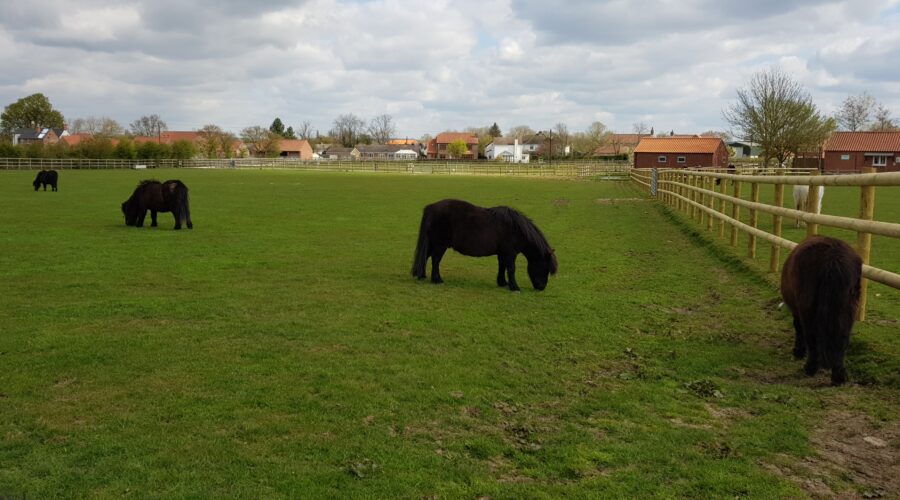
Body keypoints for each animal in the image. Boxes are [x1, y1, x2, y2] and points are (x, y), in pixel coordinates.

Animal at [411, 199, 557, 291]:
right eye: (544, 267)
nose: (541, 287)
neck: (516, 229)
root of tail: (431, 207)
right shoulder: (510, 253)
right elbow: (511, 269)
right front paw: (514, 287)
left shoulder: (503, 253)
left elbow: (502, 267)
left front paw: (502, 282)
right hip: (440, 245)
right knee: (435, 260)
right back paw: (437, 279)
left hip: (432, 244)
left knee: (425, 257)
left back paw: (422, 276)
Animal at [780, 236, 861, 385]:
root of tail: (833, 258)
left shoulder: (797, 312)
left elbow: (798, 329)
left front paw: (798, 352)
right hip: (848, 312)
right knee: (842, 339)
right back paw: (838, 376)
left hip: (807, 310)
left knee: (811, 336)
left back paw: (810, 368)